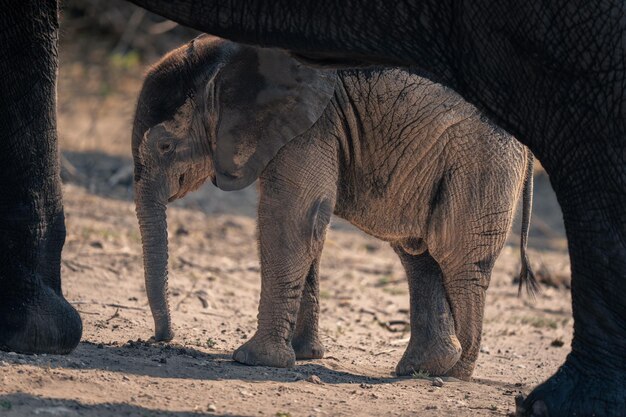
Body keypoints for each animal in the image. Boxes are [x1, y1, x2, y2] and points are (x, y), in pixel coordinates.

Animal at [134, 35, 532, 378]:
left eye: (165, 146)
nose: (161, 338)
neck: (226, 54)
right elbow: (308, 223)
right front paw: (304, 354)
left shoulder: (312, 124)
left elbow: (291, 218)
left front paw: (253, 359)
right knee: (418, 253)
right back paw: (422, 369)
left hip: (481, 159)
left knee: (456, 256)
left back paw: (454, 374)